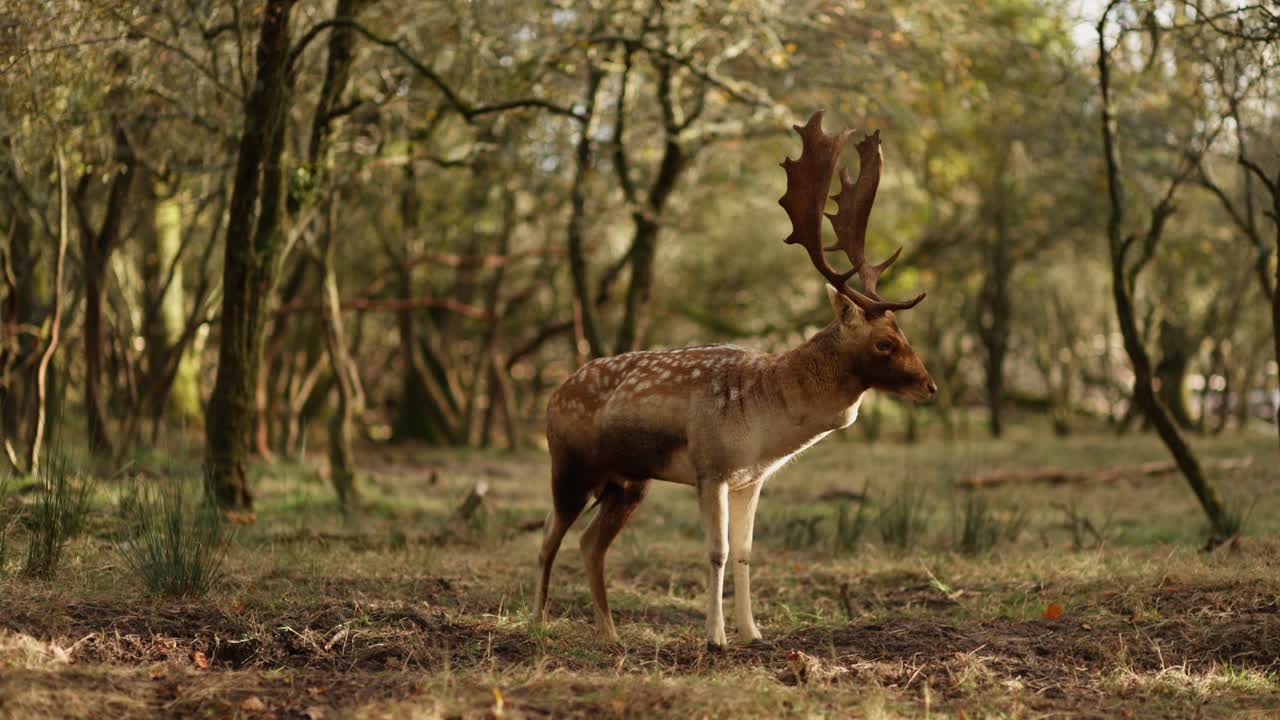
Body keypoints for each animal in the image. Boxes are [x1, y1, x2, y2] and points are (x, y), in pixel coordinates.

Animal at [535, 110, 936, 650]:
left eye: (903, 333)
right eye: (885, 344)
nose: (930, 386)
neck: (766, 425)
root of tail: (553, 392)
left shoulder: (752, 479)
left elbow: (746, 552)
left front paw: (753, 632)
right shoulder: (712, 467)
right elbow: (717, 552)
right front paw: (715, 637)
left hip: (627, 482)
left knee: (589, 543)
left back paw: (610, 633)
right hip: (570, 465)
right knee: (547, 538)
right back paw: (537, 622)